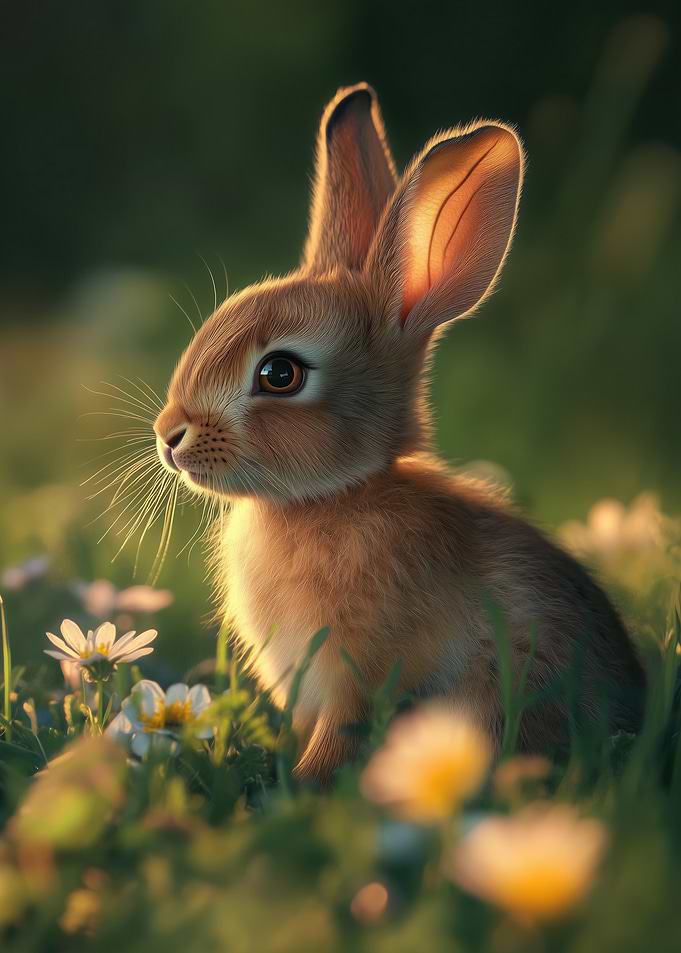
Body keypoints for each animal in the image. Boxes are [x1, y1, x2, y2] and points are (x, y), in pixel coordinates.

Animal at [154, 83, 646, 784]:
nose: (169, 435)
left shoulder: (358, 672)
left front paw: (304, 785)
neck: (332, 498)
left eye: (279, 374)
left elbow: (337, 736)